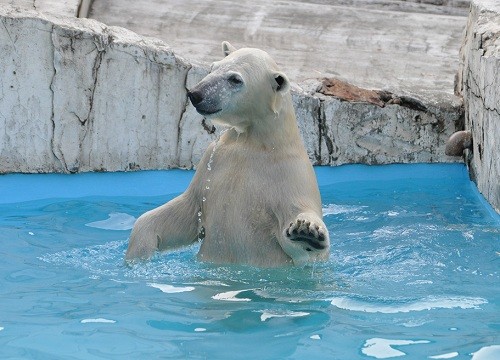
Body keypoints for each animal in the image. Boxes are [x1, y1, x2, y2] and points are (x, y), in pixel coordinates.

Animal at [125, 42, 330, 268]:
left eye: (235, 79)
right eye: (213, 67)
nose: (195, 94)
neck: (259, 143)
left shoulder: (292, 175)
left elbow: (302, 240)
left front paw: (307, 232)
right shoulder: (214, 159)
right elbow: (188, 209)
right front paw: (139, 249)